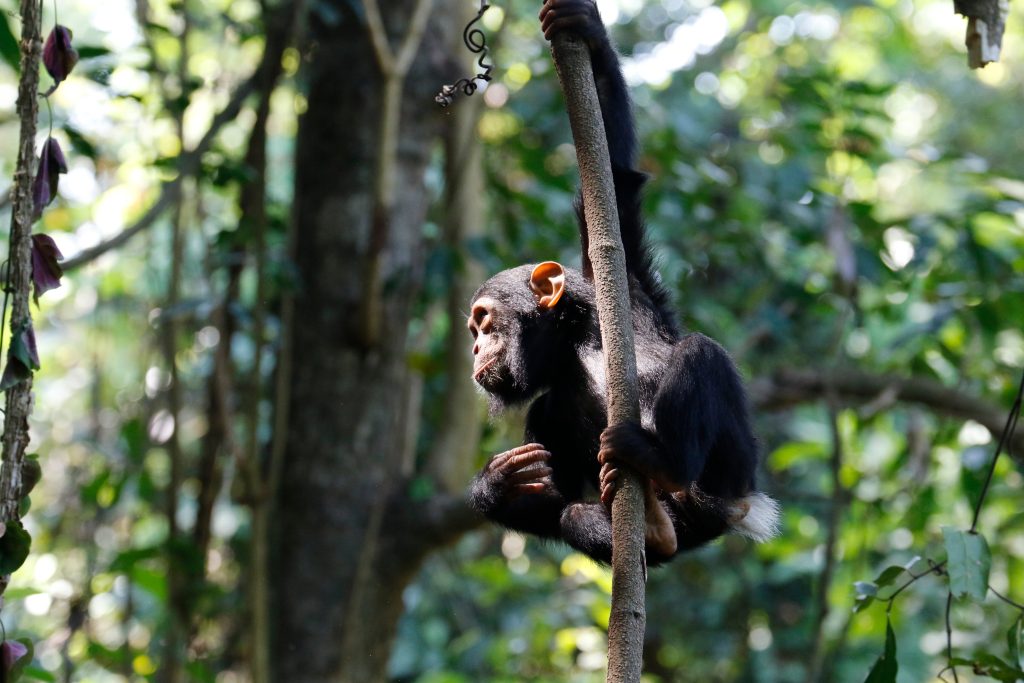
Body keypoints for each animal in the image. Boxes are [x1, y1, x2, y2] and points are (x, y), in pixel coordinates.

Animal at [467, 0, 779, 566]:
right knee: (584, 519)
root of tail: (745, 510)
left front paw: (584, 29)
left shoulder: (628, 292)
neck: (575, 346)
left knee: (701, 352)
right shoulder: (545, 414)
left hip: (732, 475)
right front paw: (493, 487)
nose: (475, 348)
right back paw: (654, 529)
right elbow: (554, 496)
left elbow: (614, 175)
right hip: (692, 520)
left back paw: (659, 461)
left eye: (484, 321)